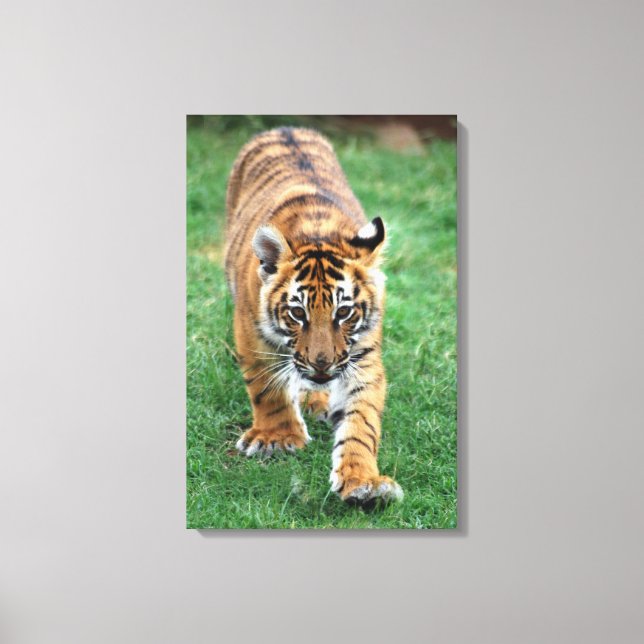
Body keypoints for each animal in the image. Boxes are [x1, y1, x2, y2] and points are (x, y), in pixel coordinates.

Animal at [224, 126, 403, 505]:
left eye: (344, 312)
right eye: (297, 313)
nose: (322, 364)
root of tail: (285, 128)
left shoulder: (363, 357)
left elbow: (362, 423)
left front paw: (363, 482)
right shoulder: (251, 332)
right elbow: (267, 387)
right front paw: (276, 439)